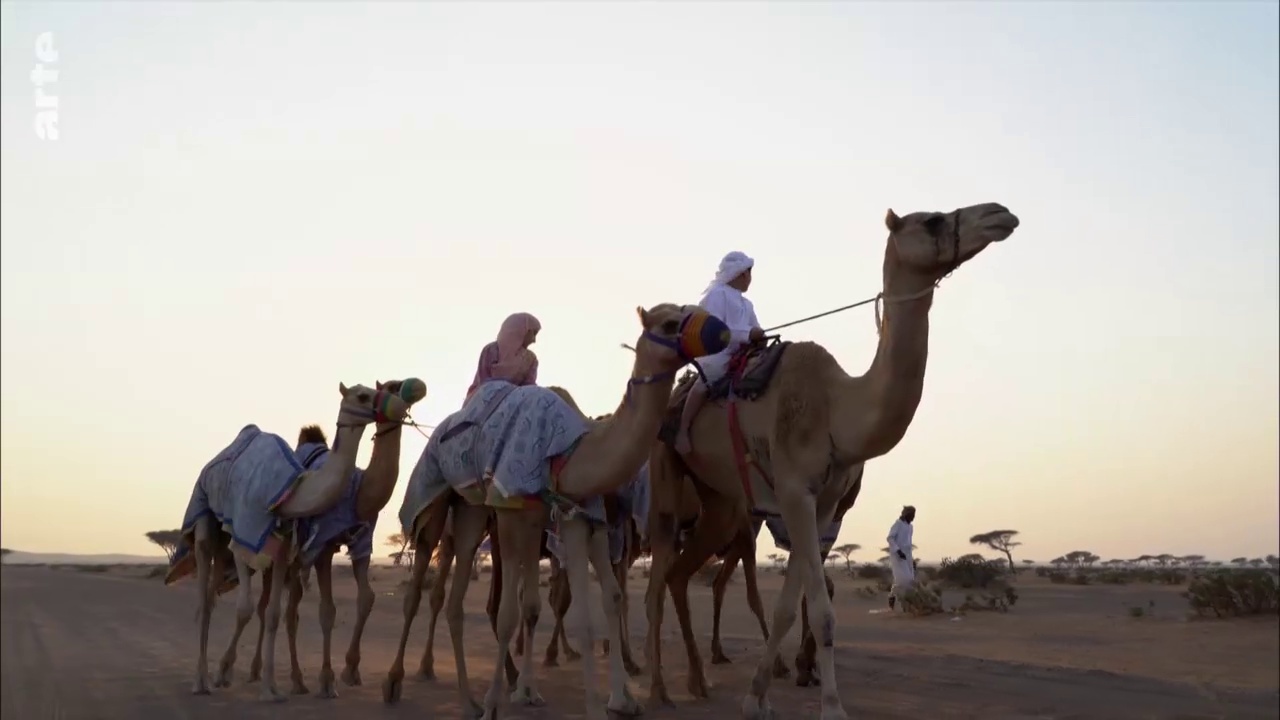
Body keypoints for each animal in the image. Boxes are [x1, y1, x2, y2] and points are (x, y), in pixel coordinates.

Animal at [170, 381, 417, 702]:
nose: (401, 405)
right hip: (205, 520)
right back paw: (204, 680)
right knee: (206, 593)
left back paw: (279, 677)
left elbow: (282, 613)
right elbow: (252, 609)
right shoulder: (259, 540)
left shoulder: (299, 547)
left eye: (394, 389)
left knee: (251, 605)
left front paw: (275, 688)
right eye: (363, 395)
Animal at [381, 302, 732, 717]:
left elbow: (595, 603)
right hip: (441, 502)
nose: (723, 331)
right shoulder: (513, 513)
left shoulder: (579, 517)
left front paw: (613, 700)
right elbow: (510, 614)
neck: (572, 453)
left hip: (472, 513)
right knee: (421, 584)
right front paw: (502, 703)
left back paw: (470, 700)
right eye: (670, 322)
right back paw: (398, 683)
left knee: (456, 601)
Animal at [650, 203, 1018, 717]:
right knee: (653, 575)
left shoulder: (821, 504)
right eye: (932, 219)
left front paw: (757, 697)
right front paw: (831, 706)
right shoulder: (794, 493)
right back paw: (657, 687)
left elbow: (790, 605)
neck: (836, 408)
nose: (999, 214)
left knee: (680, 574)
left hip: (721, 503)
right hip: (667, 475)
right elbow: (820, 609)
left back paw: (698, 681)